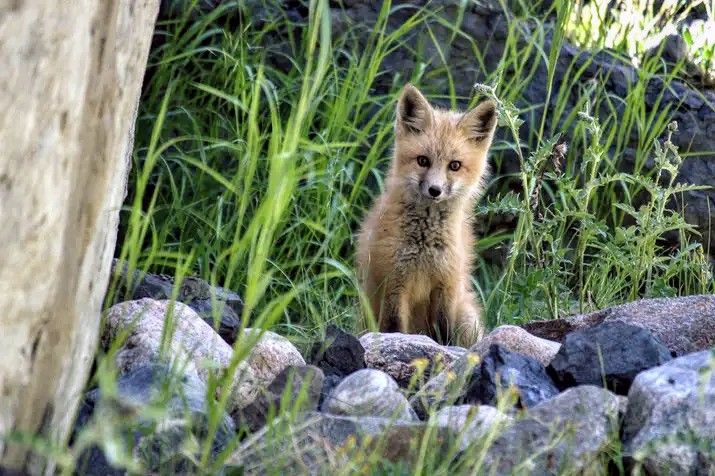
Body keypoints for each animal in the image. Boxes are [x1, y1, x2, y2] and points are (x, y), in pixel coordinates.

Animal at [356, 84, 498, 347]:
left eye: (454, 165)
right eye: (423, 161)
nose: (435, 190)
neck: (424, 245)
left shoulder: (446, 286)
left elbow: (444, 333)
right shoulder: (394, 284)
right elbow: (394, 330)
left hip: (466, 316)